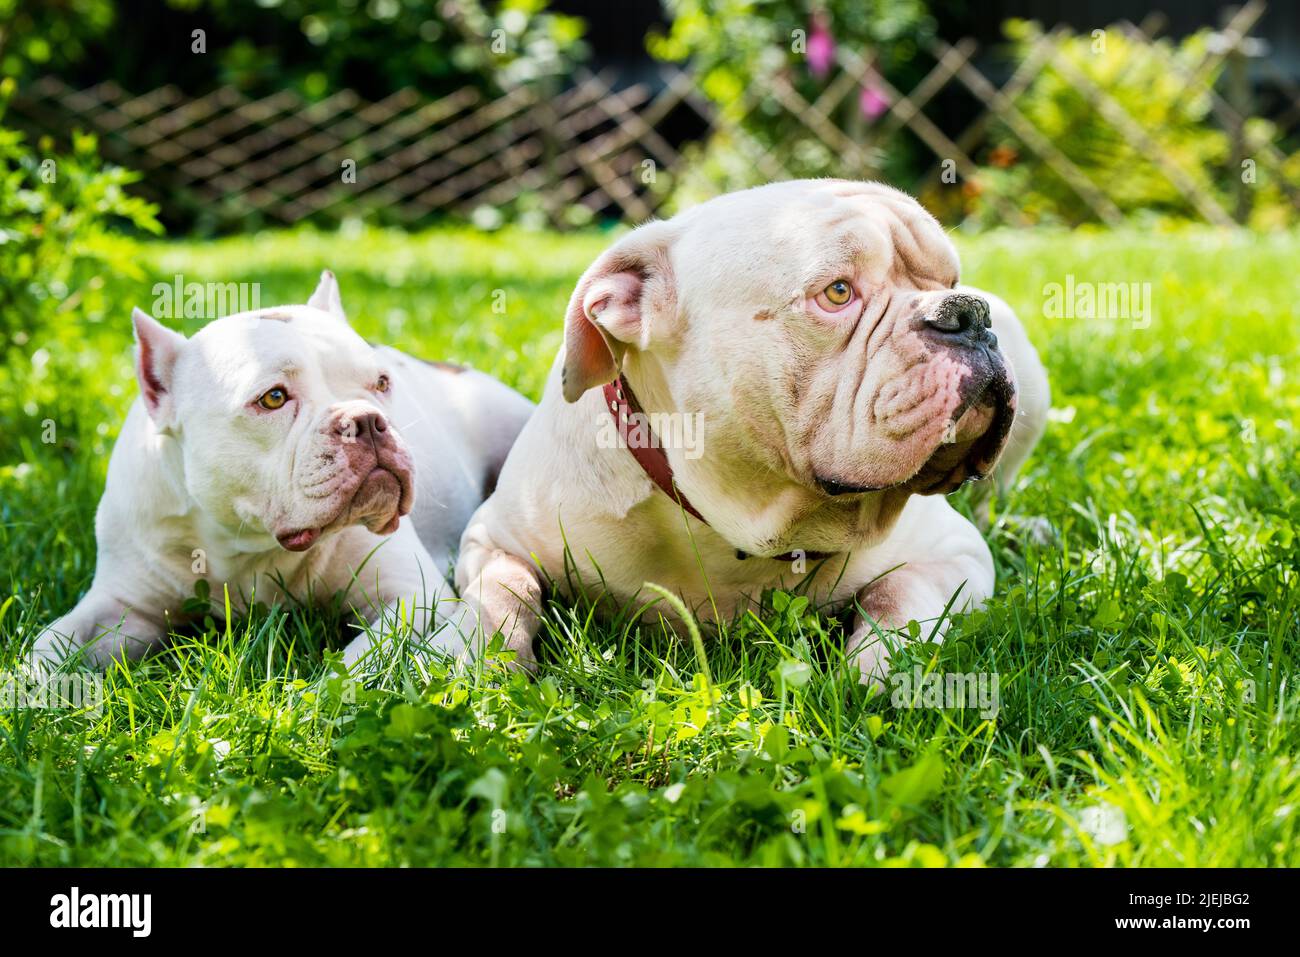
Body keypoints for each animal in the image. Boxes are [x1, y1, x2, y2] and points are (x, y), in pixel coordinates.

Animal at [34, 273, 533, 670]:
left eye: (382, 383)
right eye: (273, 398)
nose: (367, 421)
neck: (245, 543)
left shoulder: (413, 597)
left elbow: (356, 662)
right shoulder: (120, 605)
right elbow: (47, 647)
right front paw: (34, 698)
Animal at [454, 179, 1045, 686]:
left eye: (951, 283)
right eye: (837, 292)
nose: (968, 312)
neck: (744, 522)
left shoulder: (954, 557)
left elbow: (900, 600)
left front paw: (875, 670)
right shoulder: (495, 539)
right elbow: (502, 595)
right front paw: (486, 666)